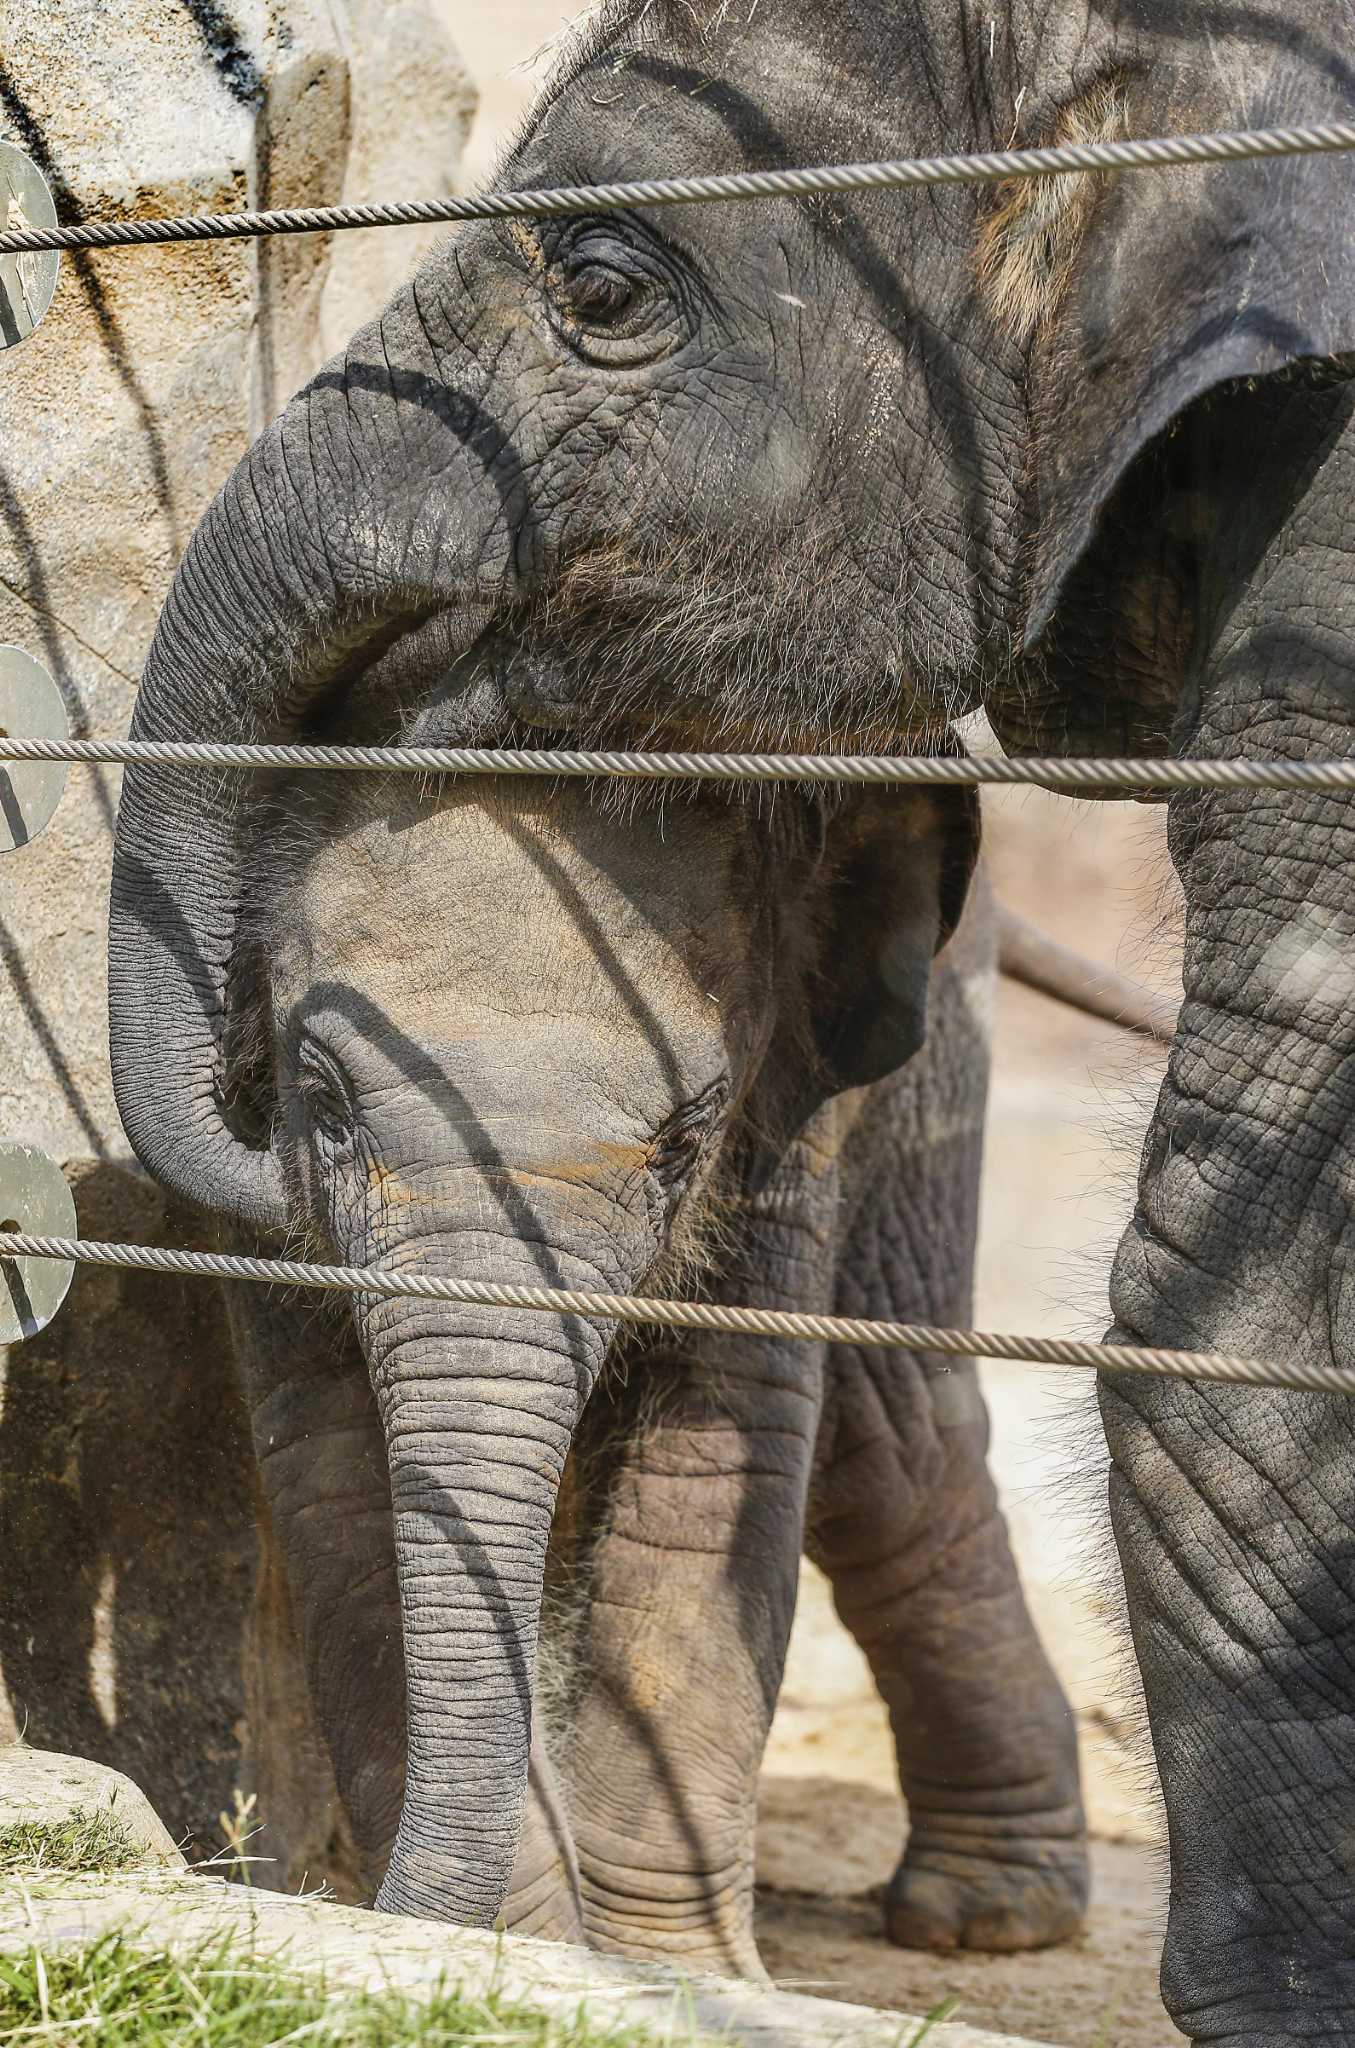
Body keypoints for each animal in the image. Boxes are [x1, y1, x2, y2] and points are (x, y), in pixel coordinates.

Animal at [103, 0, 1355, 2035]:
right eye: (311, 1100)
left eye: (604, 287)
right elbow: (348, 1476)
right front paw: (507, 1944)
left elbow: (726, 1457)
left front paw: (653, 1970)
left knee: (893, 1439)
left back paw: (983, 1925)